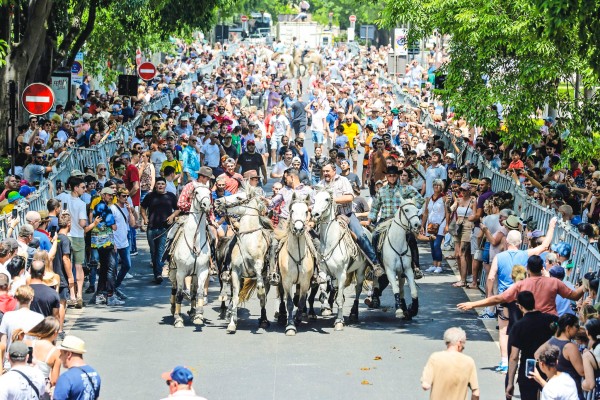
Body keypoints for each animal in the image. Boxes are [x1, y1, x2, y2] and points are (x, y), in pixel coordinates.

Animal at [170, 184, 212, 328]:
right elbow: (179, 294)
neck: (195, 242)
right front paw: (178, 319)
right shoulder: (181, 272)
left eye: (209, 193)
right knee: (174, 289)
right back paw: (173, 310)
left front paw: (199, 315)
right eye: (197, 192)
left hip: (194, 274)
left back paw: (193, 312)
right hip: (174, 272)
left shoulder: (202, 271)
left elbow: (199, 292)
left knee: (193, 291)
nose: (206, 205)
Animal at [213, 186, 272, 332]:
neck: (248, 241)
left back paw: (263, 320)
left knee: (264, 298)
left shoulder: (258, 266)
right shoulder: (235, 272)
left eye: (239, 197)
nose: (217, 202)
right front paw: (232, 324)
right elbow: (234, 297)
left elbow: (261, 291)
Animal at [276, 195, 314, 336]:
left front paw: (297, 319)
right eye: (292, 210)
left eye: (306, 211)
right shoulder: (286, 281)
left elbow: (302, 301)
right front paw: (290, 326)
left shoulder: (305, 282)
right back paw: (282, 315)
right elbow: (289, 303)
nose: (298, 229)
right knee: (281, 296)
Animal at [312, 189, 368, 330]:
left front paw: (338, 321)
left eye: (327, 199)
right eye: (315, 198)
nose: (315, 214)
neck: (330, 242)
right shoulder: (323, 271)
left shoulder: (341, 274)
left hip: (360, 271)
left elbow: (339, 299)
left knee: (358, 290)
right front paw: (326, 308)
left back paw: (354, 313)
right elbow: (323, 289)